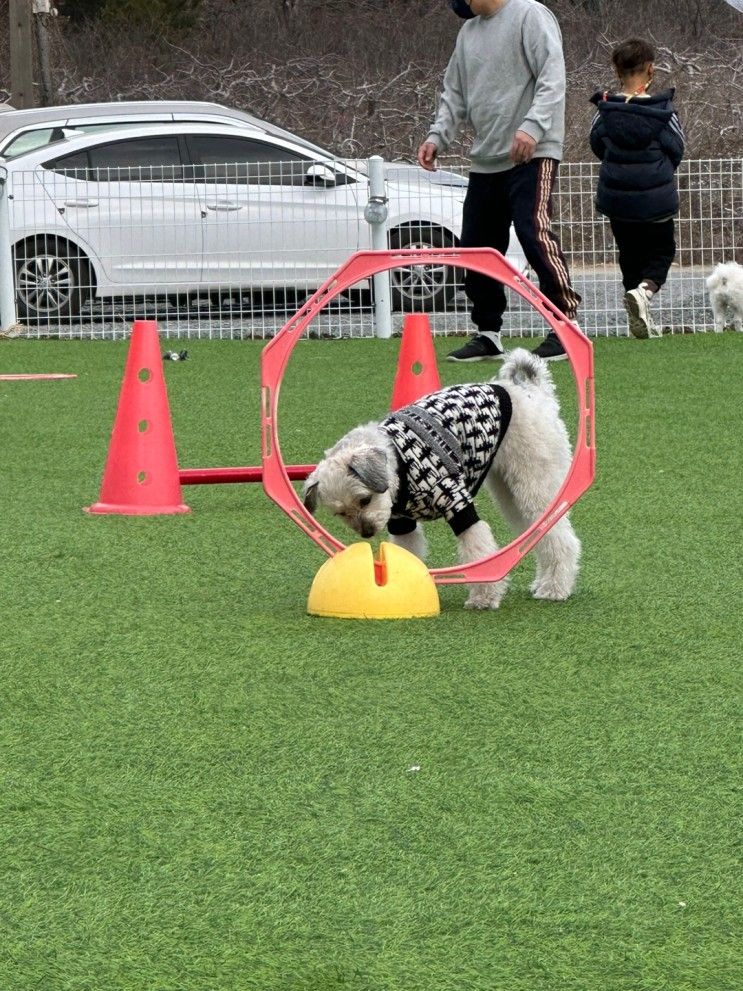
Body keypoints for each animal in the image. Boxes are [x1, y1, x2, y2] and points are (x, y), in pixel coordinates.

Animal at [302, 348, 580, 612]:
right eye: (340, 513)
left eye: (364, 500)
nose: (367, 533)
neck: (399, 463)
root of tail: (535, 392)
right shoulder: (402, 523)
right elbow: (406, 554)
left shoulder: (458, 506)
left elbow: (478, 551)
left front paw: (484, 598)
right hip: (510, 495)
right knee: (539, 534)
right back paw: (543, 582)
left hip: (535, 484)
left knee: (560, 537)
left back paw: (554, 588)